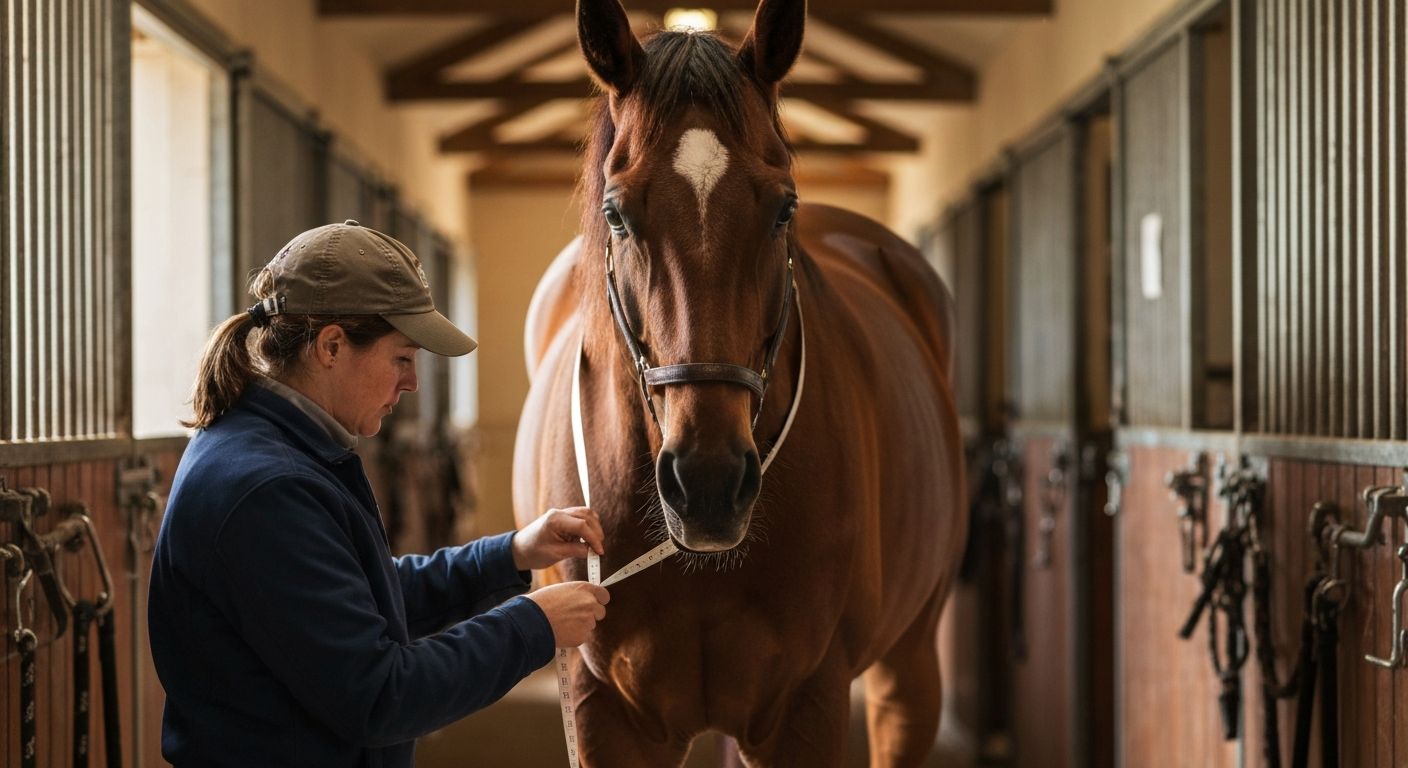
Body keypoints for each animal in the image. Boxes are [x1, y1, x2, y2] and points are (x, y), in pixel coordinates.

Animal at [513, 0, 966, 764]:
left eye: (784, 207)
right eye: (615, 213)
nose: (708, 485)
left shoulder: (807, 708)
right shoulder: (601, 710)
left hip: (907, 666)